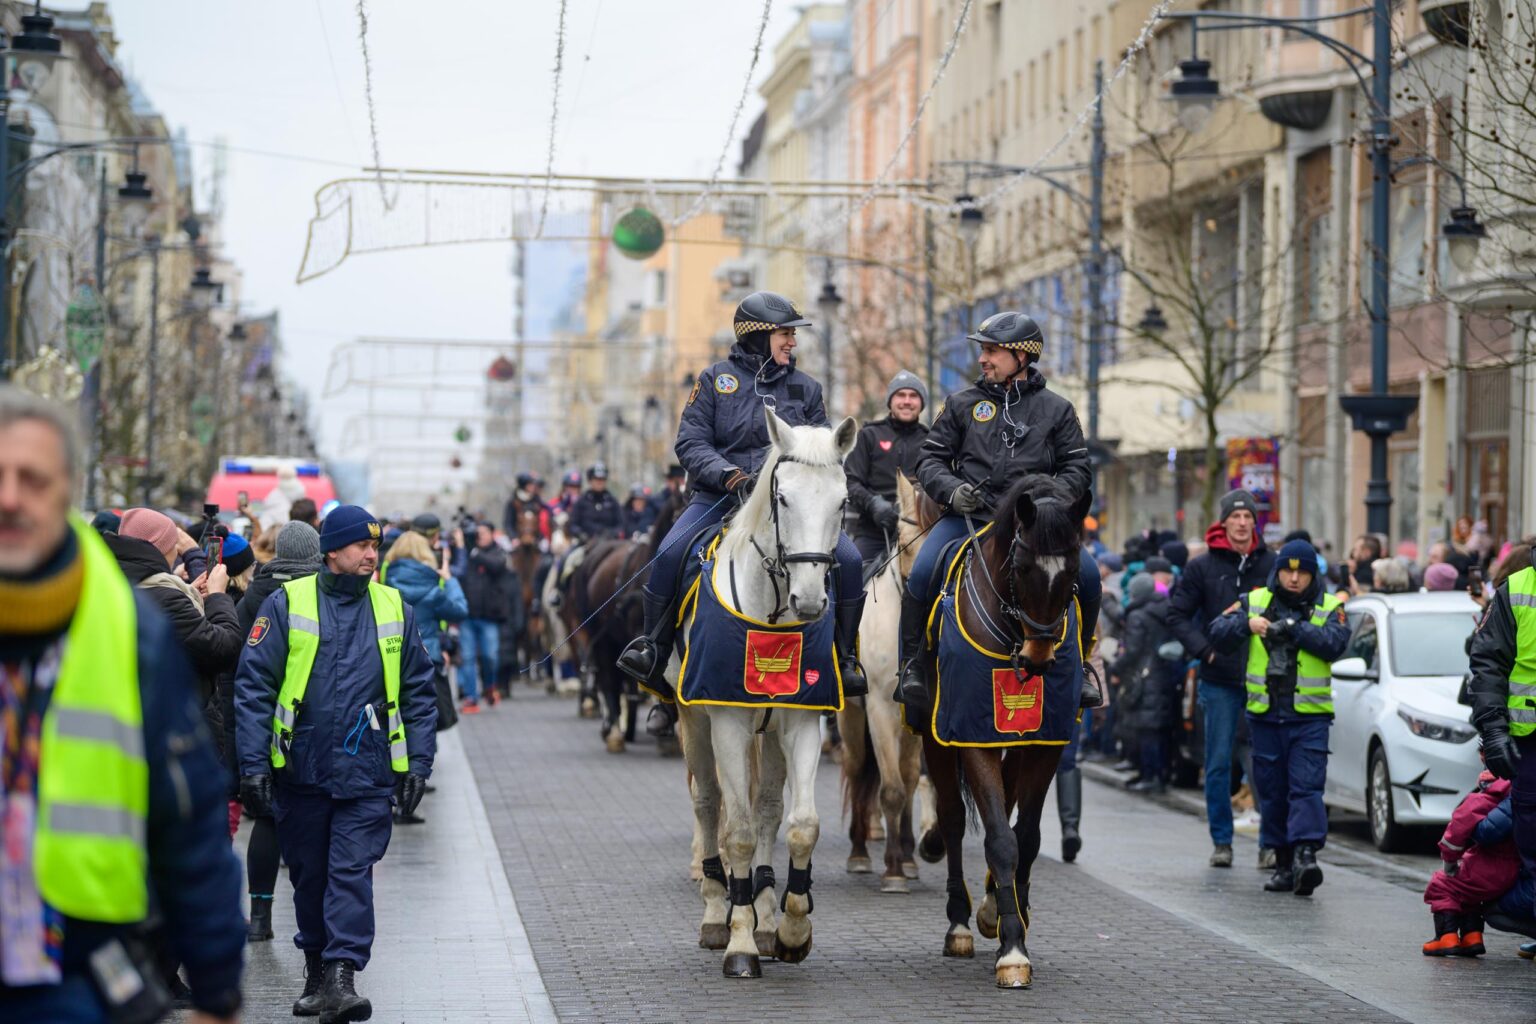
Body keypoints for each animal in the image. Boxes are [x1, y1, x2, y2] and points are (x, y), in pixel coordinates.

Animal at [678, 405, 860, 976]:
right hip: (694, 722)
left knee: (766, 809)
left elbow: (799, 824)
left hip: (772, 730)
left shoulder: (802, 720)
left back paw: (762, 910)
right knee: (708, 803)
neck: (773, 613)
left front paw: (791, 931)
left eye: (842, 502)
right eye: (783, 498)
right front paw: (739, 943)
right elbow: (734, 830)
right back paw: (718, 912)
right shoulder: (729, 722)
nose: (810, 600)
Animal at [909, 475, 1093, 988]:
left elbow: (1023, 836)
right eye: (1024, 566)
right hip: (936, 738)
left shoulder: (1046, 745)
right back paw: (958, 923)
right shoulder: (972, 736)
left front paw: (1011, 918)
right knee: (952, 819)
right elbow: (998, 838)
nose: (1039, 658)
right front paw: (1012, 950)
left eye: (1073, 568)